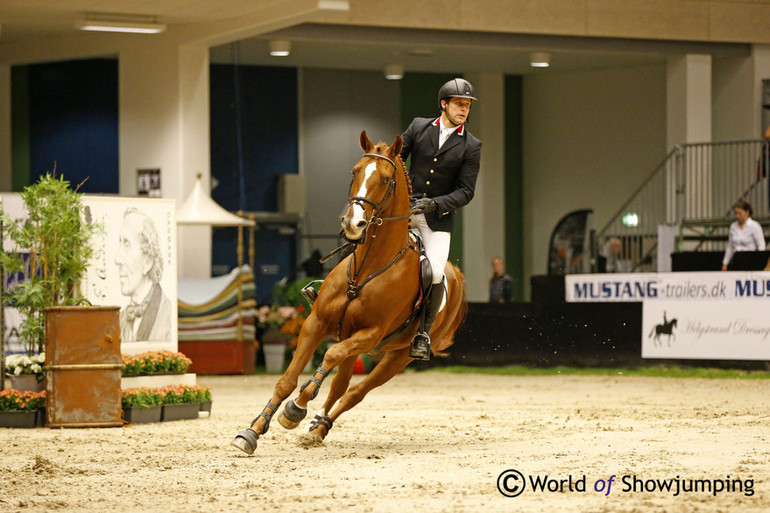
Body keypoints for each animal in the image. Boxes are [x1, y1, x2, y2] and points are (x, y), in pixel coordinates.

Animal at [231, 130, 464, 454]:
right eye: (355, 172)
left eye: (385, 179)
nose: (353, 224)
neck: (368, 269)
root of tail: (456, 275)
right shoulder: (315, 323)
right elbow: (287, 380)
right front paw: (252, 431)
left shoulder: (370, 335)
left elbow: (329, 356)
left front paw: (295, 408)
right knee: (341, 385)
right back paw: (316, 427)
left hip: (396, 356)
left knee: (355, 391)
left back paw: (317, 425)